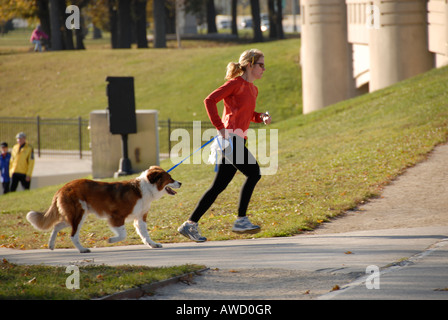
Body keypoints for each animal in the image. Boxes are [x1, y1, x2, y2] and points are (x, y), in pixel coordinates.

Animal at [26, 166, 179, 254]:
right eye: (170, 178)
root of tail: (64, 187)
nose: (180, 183)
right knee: (73, 235)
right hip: (79, 215)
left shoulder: (140, 217)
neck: (144, 188)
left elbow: (145, 234)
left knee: (57, 225)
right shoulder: (117, 217)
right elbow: (123, 234)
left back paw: (51, 245)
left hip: (74, 216)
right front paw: (111, 240)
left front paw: (152, 244)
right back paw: (82, 249)